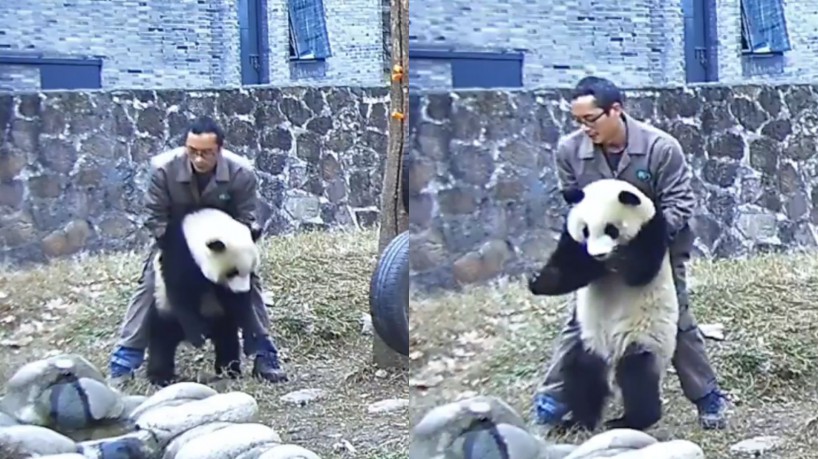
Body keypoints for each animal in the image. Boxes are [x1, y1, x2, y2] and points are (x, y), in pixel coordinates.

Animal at [146, 206, 262, 387]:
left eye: (250, 271)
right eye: (232, 272)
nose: (241, 290)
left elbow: (238, 305)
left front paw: (252, 332)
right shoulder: (179, 257)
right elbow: (181, 295)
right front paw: (197, 335)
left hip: (222, 320)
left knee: (227, 340)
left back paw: (229, 369)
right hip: (163, 307)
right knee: (162, 338)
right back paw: (160, 376)